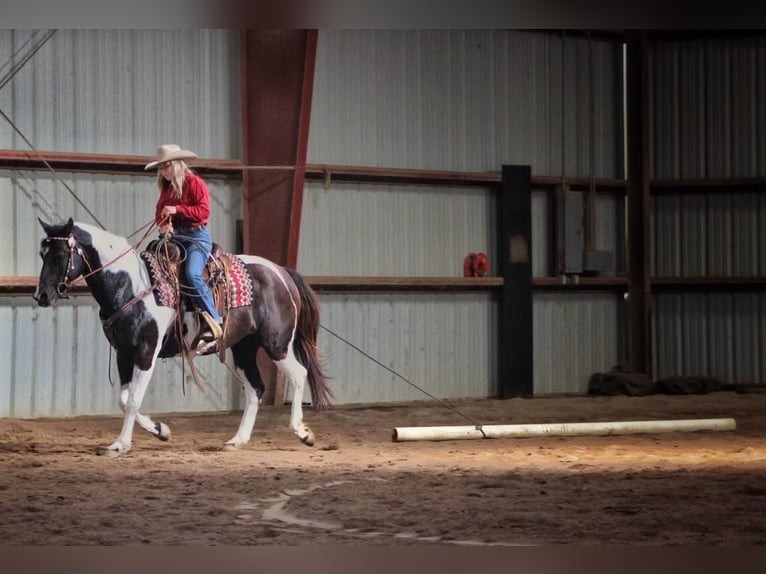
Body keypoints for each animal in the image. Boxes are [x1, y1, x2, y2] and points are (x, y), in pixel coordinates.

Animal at [34, 218, 332, 456]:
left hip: (277, 343)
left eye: (60, 254)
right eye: (42, 253)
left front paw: (120, 444)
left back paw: (303, 432)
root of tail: (281, 272)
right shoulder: (124, 354)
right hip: (243, 347)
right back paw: (237, 439)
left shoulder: (146, 352)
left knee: (299, 374)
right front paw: (160, 429)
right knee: (256, 388)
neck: (131, 286)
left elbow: (133, 400)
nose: (42, 296)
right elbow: (124, 399)